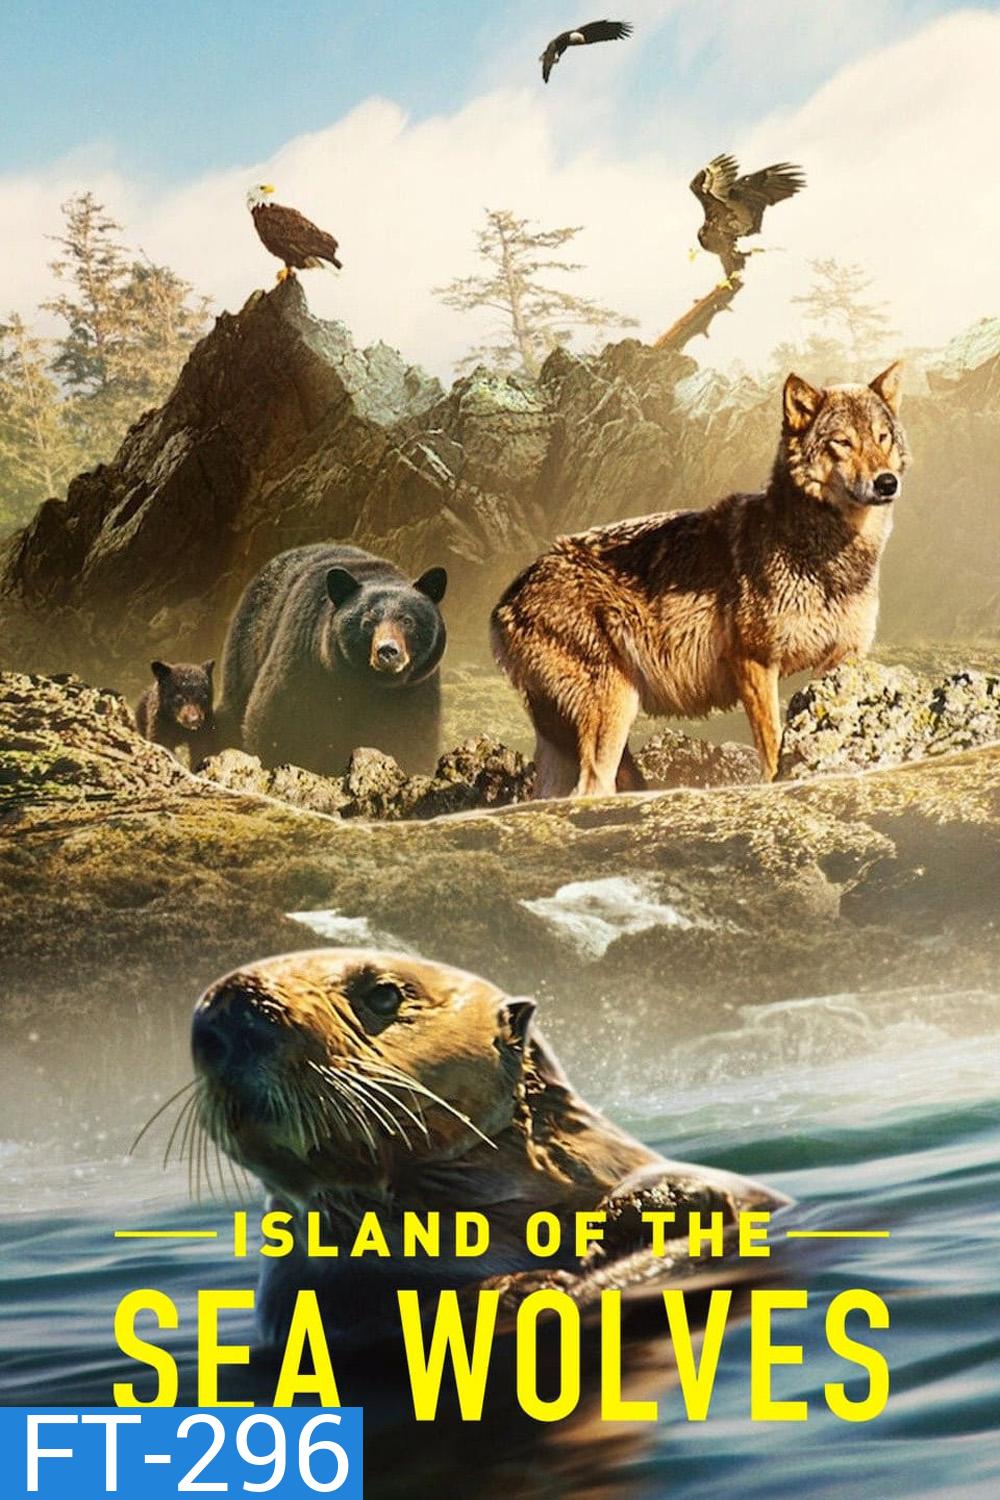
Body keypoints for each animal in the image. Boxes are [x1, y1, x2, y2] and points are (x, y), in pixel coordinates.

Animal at [491, 364, 908, 798]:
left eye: (882, 437)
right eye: (842, 442)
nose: (887, 482)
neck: (826, 553)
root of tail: (506, 600)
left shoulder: (840, 663)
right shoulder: (755, 662)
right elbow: (772, 747)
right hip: (614, 709)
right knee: (591, 788)